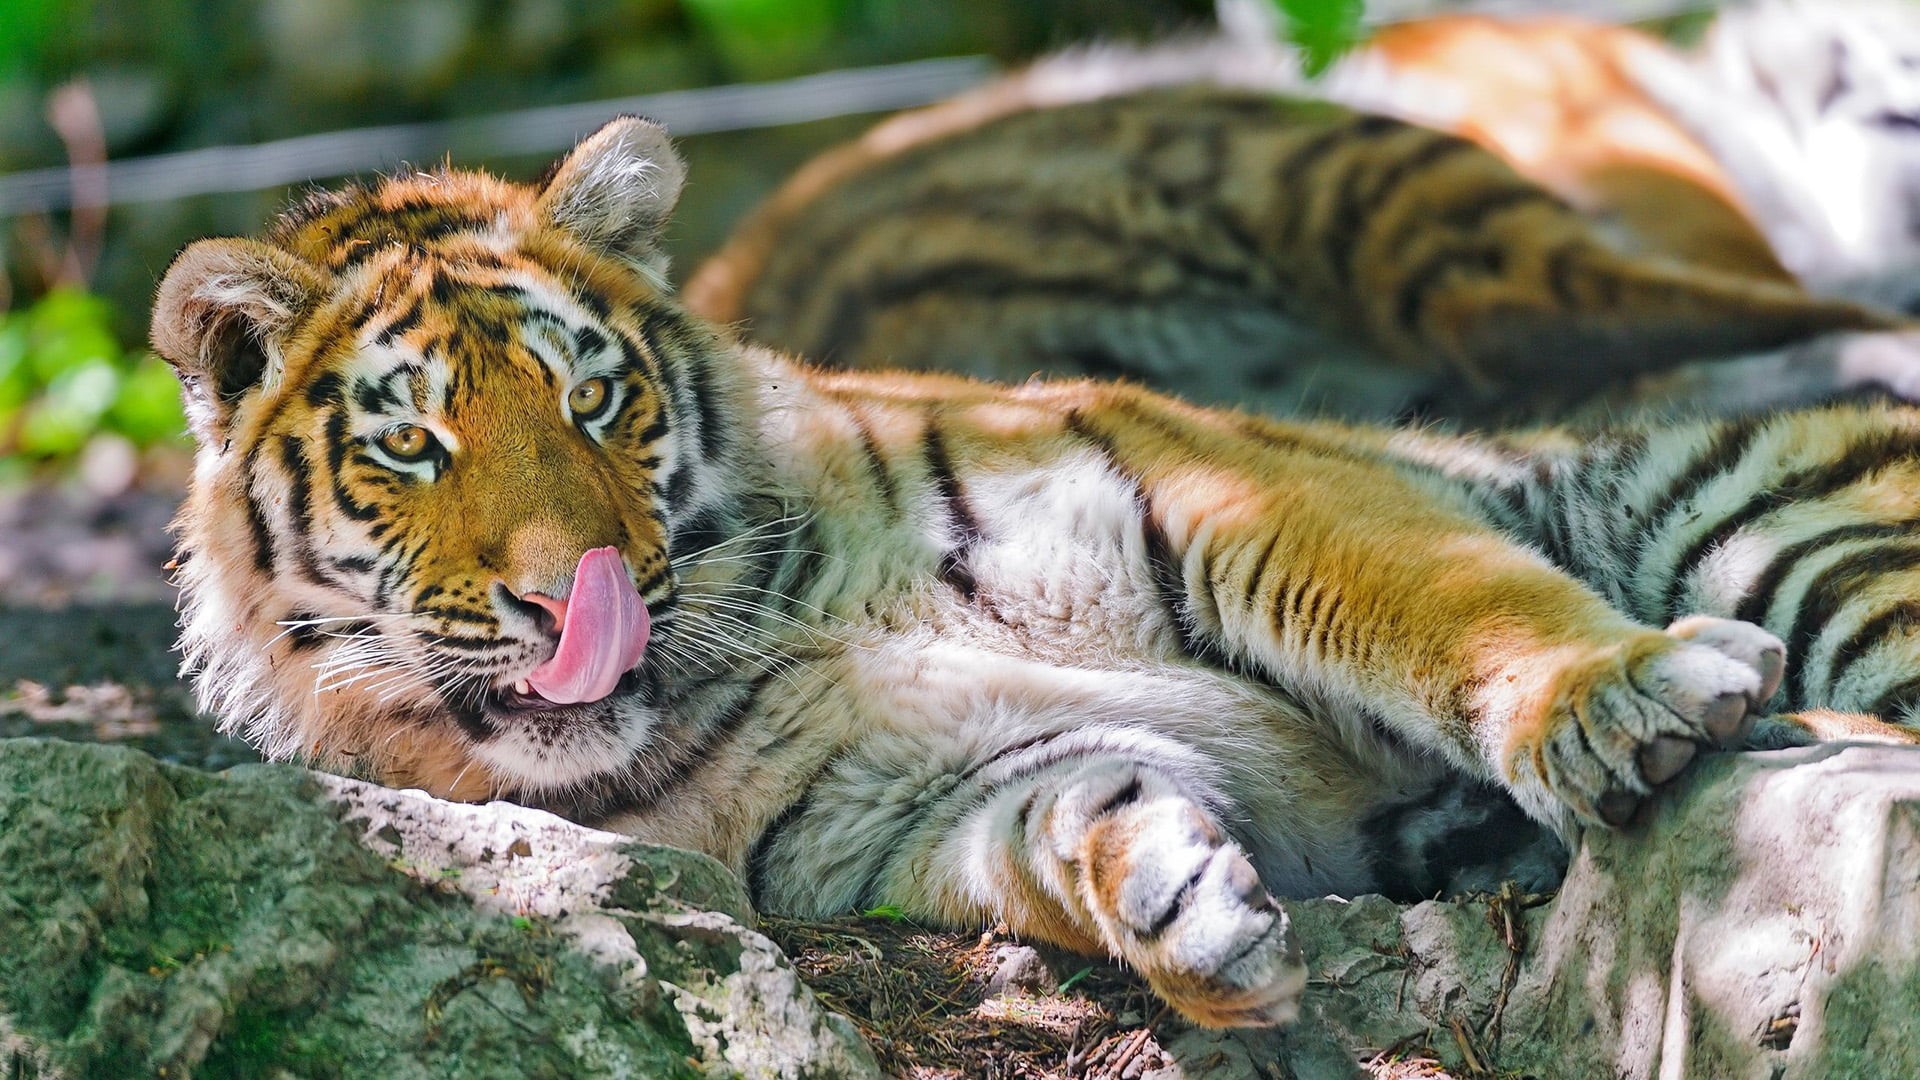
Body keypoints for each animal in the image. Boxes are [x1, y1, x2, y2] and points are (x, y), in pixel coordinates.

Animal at [152, 117, 1920, 1030]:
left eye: (594, 401)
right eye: (414, 444)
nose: (568, 596)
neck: (763, 633)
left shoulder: (1227, 493)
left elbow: (1445, 604)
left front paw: (1616, 691)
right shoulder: (908, 805)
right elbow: (1069, 818)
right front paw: (1182, 908)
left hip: (1761, 513)